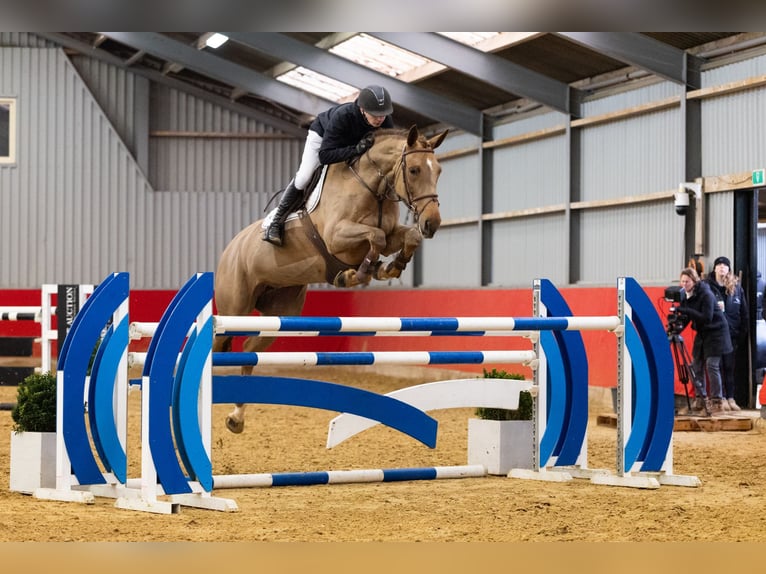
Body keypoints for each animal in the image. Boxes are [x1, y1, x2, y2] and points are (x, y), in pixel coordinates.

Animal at [213, 124, 449, 433]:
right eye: (414, 170)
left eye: (439, 170)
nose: (432, 224)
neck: (373, 189)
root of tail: (230, 247)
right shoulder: (338, 236)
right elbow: (376, 236)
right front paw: (358, 273)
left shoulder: (391, 233)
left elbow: (405, 236)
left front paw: (389, 267)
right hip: (235, 307)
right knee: (219, 347)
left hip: (281, 310)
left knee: (250, 350)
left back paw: (236, 417)